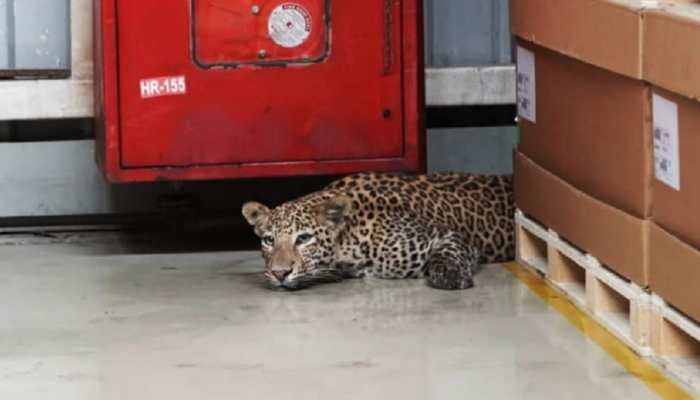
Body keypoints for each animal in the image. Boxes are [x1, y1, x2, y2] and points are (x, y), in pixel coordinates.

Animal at [242, 172, 515, 291]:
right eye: (268, 240)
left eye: (304, 238)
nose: (279, 273)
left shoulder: (447, 236)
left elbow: (447, 254)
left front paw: (450, 276)